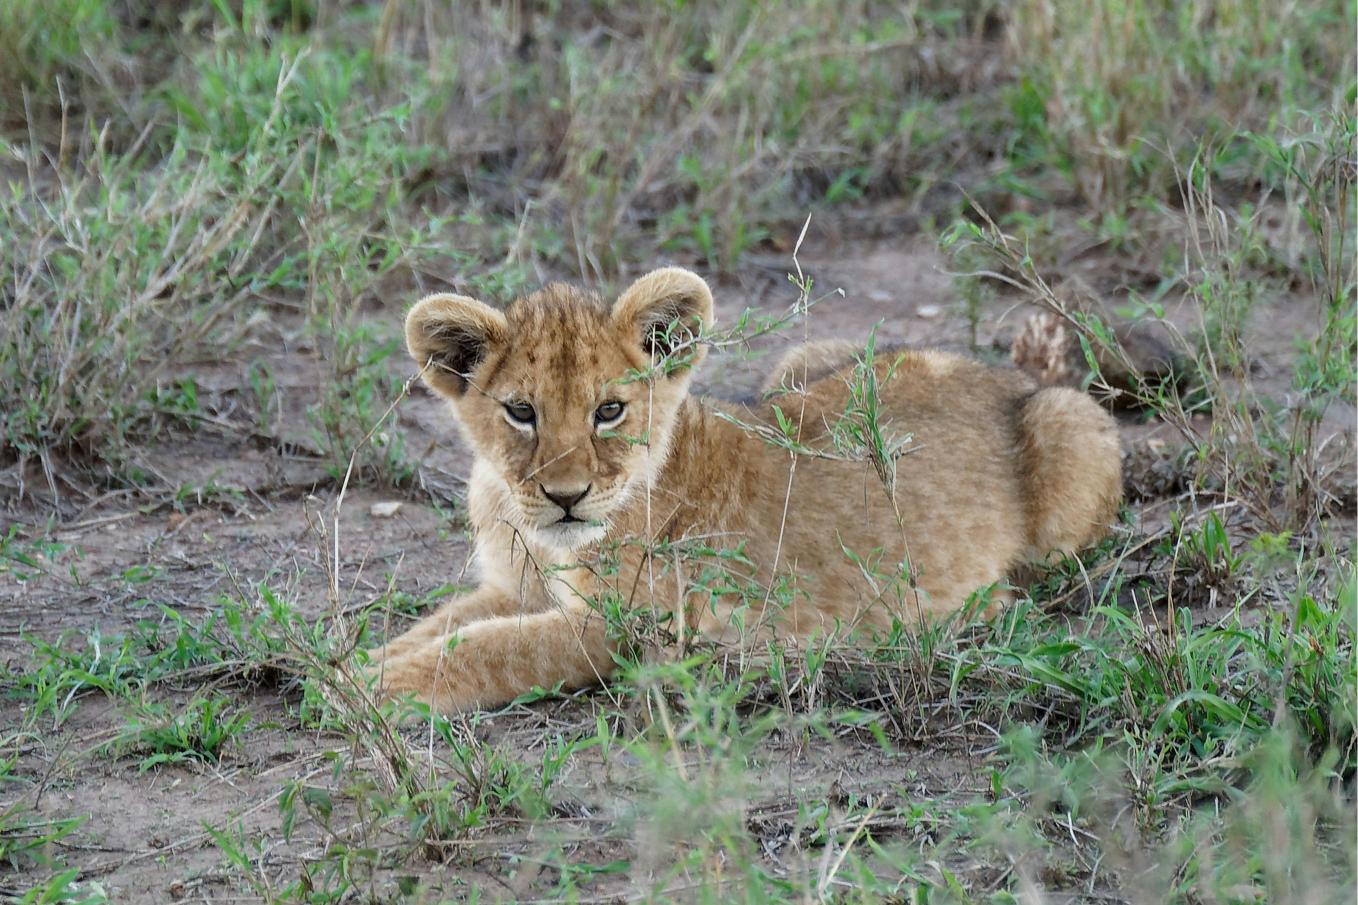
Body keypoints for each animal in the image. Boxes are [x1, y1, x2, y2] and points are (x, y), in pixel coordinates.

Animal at [374, 267, 1122, 713]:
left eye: (609, 410)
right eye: (520, 412)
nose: (566, 496)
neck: (537, 533)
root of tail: (1004, 376)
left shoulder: (627, 626)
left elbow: (489, 649)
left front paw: (373, 687)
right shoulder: (514, 589)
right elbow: (440, 626)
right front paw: (359, 662)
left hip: (1068, 431)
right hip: (804, 360)